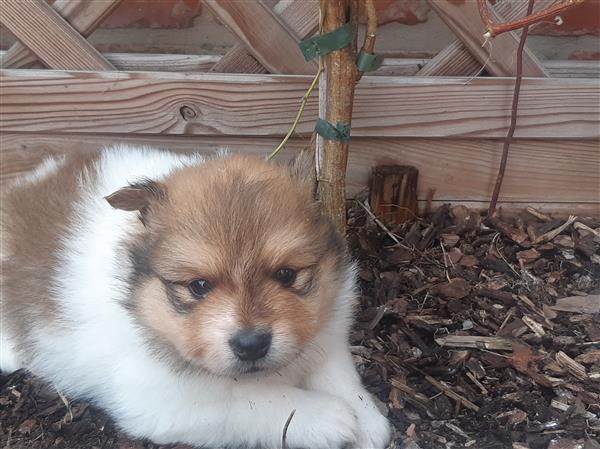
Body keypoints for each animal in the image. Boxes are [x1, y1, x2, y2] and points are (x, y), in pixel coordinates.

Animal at [0, 145, 392, 446]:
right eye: (198, 286)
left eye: (286, 275)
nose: (251, 344)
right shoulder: (166, 399)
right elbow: (248, 401)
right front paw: (329, 418)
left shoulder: (328, 328)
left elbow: (337, 373)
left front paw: (367, 420)